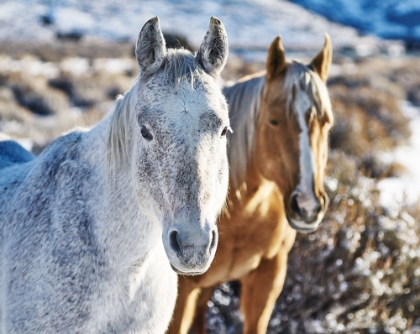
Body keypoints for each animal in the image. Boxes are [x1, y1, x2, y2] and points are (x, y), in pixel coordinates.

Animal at [167, 34, 334, 334]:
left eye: (326, 123)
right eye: (273, 120)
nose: (307, 207)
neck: (243, 212)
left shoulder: (268, 278)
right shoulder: (182, 291)